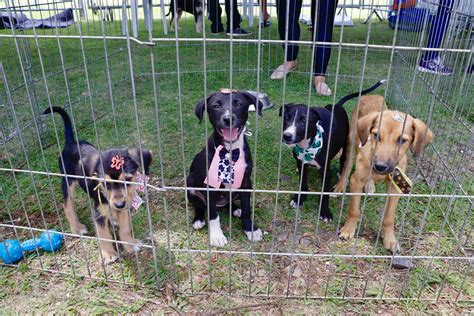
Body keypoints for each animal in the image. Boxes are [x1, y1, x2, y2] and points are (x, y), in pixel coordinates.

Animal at [43, 106, 152, 264]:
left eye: (128, 179)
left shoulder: (125, 207)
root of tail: (71, 143)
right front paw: (109, 254)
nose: (119, 205)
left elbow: (125, 228)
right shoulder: (98, 213)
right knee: (67, 204)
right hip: (68, 181)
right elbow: (104, 235)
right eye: (105, 184)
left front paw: (130, 244)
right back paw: (76, 227)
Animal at [187, 88, 264, 247]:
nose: (228, 119)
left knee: (229, 202)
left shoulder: (246, 182)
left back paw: (235, 209)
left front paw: (250, 229)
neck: (229, 151)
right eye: (215, 106)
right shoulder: (210, 186)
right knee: (200, 206)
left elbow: (247, 208)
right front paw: (216, 236)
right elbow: (213, 215)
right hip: (190, 184)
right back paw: (198, 219)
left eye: (239, 104)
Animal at [282, 80, 386, 221]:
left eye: (304, 120)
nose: (287, 136)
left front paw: (325, 212)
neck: (307, 147)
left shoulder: (326, 171)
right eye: (286, 118)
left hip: (348, 143)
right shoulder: (301, 162)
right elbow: (302, 183)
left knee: (344, 161)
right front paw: (299, 199)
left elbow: (324, 192)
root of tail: (336, 105)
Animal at [336, 99, 434, 252]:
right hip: (351, 142)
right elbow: (354, 210)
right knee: (346, 167)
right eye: (376, 135)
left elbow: (389, 218)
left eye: (401, 140)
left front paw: (390, 239)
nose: (380, 166)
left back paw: (369, 186)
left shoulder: (395, 189)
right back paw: (340, 186)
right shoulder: (356, 181)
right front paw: (348, 230)